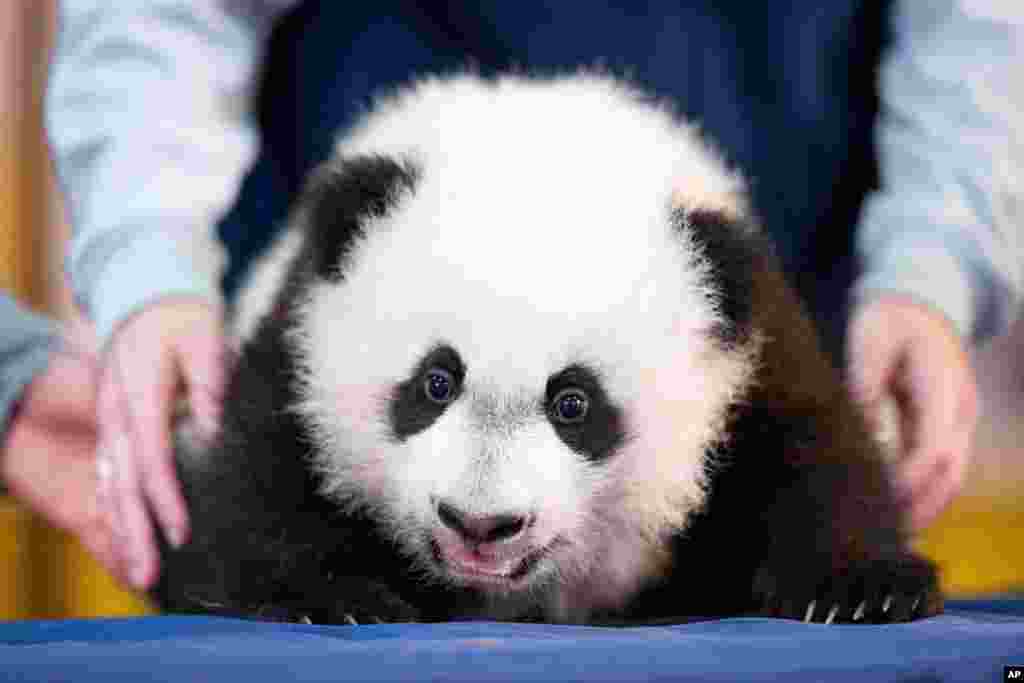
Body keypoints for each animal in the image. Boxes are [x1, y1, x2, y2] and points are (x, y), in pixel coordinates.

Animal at [157, 72, 942, 627]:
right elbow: (263, 473)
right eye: (435, 382)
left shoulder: (747, 340)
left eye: (574, 404)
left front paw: (863, 586)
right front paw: (330, 592)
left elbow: (813, 445)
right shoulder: (305, 326)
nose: (479, 524)